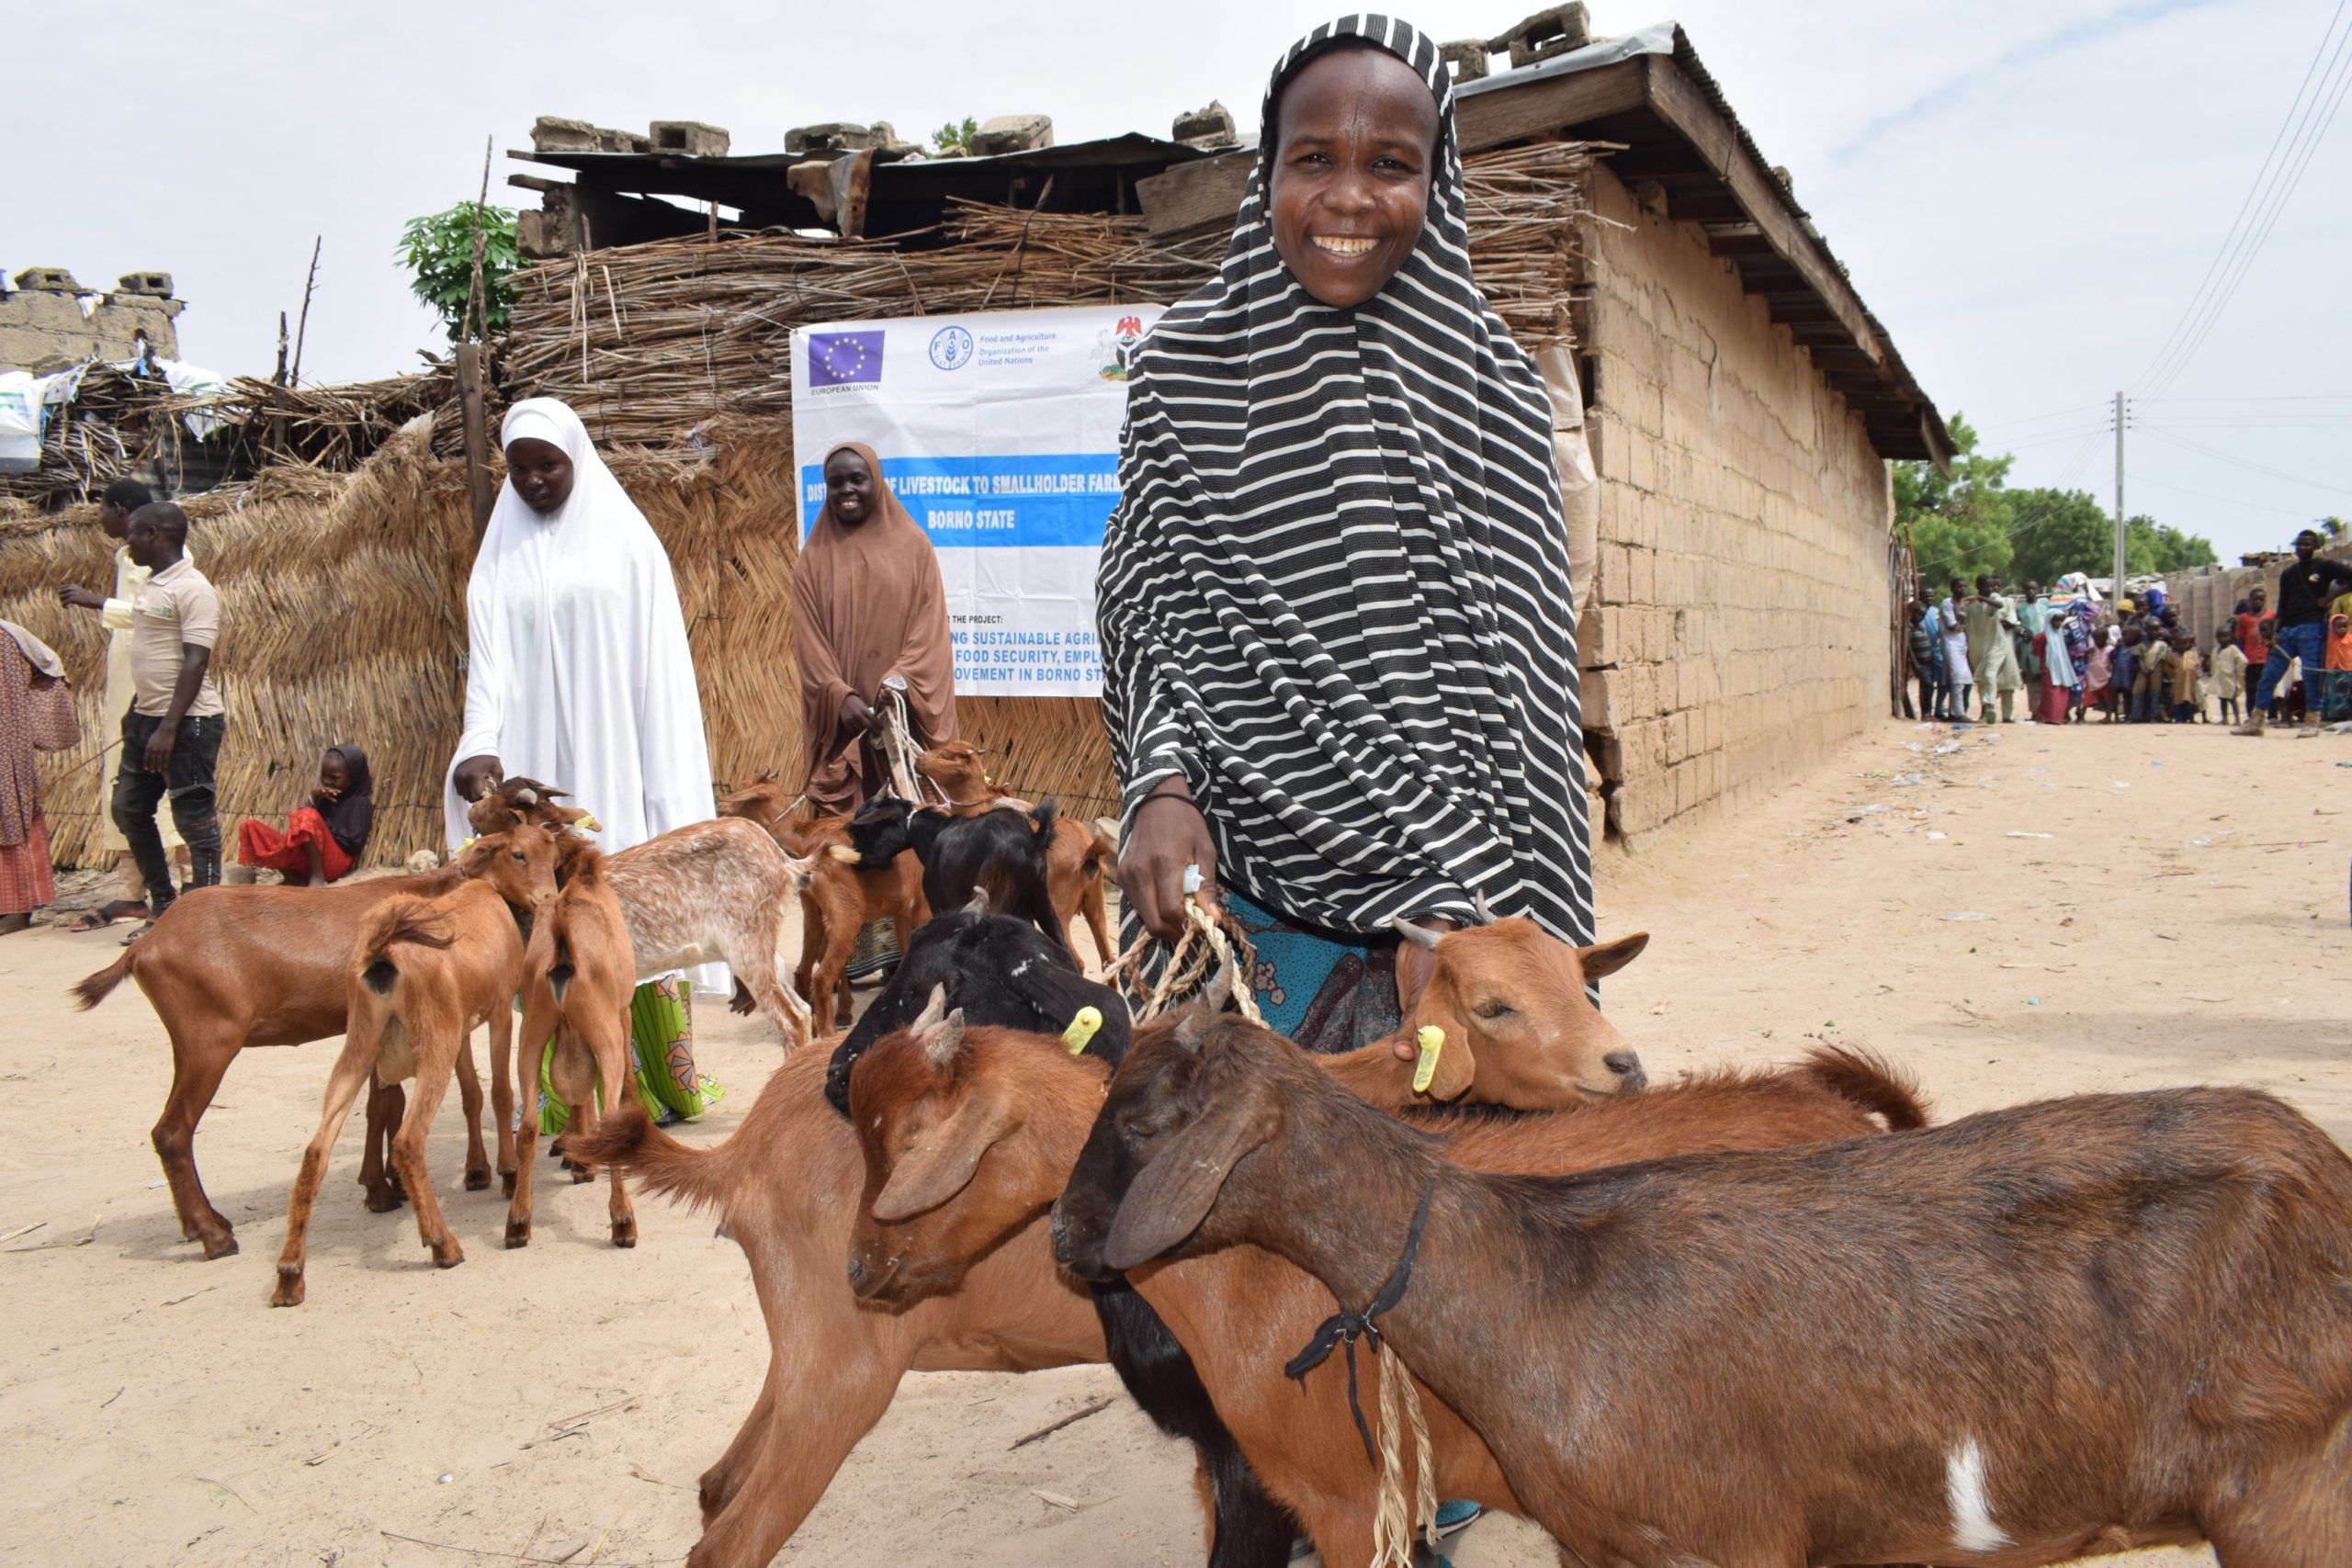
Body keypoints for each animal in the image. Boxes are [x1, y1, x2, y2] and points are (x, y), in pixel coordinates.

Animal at [270, 827, 560, 1306]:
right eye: (519, 854)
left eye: (552, 857)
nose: (549, 899)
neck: (489, 894)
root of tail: (383, 952)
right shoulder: (498, 1011)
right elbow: (499, 1093)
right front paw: (506, 1172)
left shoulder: (462, 1026)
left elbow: (472, 1094)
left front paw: (478, 1170)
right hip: (431, 1046)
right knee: (408, 1140)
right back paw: (443, 1245)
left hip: (360, 1048)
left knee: (316, 1151)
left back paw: (290, 1274)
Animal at [503, 831, 639, 1250]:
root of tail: (563, 929)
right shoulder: (623, 1013)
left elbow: (579, 1096)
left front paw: (579, 1161)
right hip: (605, 1032)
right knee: (610, 1112)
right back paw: (623, 1221)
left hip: (532, 1033)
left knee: (529, 1126)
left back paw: (518, 1221)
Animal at [912, 742, 1114, 964]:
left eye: (946, 755)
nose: (919, 760)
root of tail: (1088, 850)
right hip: (1093, 905)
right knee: (1108, 958)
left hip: (1057, 907)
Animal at [1072, 1020, 2352, 1568]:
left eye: (1138, 1122)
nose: (1073, 1243)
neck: (1531, 1281)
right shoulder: (1603, 1553)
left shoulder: (1726, 1542)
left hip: (2293, 1503)